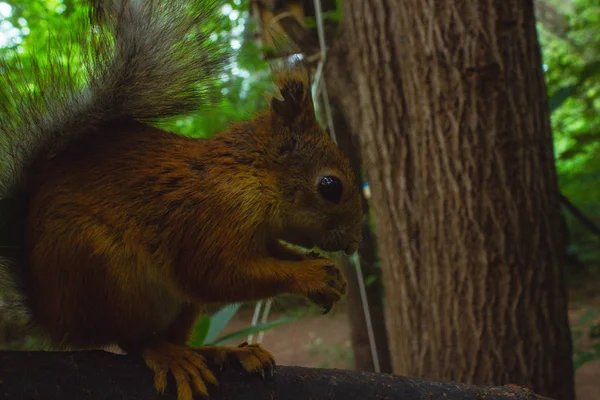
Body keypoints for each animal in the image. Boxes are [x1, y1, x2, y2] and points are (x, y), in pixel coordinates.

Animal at [0, 0, 360, 398]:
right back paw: (168, 355)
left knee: (173, 334)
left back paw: (221, 351)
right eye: (330, 186)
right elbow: (215, 275)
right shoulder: (212, 217)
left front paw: (324, 270)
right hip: (100, 267)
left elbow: (274, 252)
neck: (251, 177)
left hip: (174, 304)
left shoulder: (260, 233)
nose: (355, 243)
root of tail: (50, 315)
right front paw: (311, 275)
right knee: (133, 339)